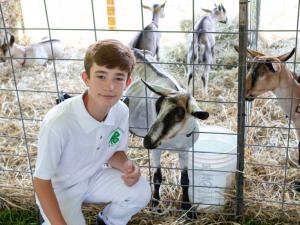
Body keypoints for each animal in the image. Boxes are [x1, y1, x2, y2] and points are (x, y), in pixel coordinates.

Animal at [124, 48, 209, 219]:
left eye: (179, 114)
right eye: (159, 108)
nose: (147, 141)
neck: (176, 137)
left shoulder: (184, 150)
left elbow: (185, 179)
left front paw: (188, 208)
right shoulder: (156, 149)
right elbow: (157, 177)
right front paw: (155, 205)